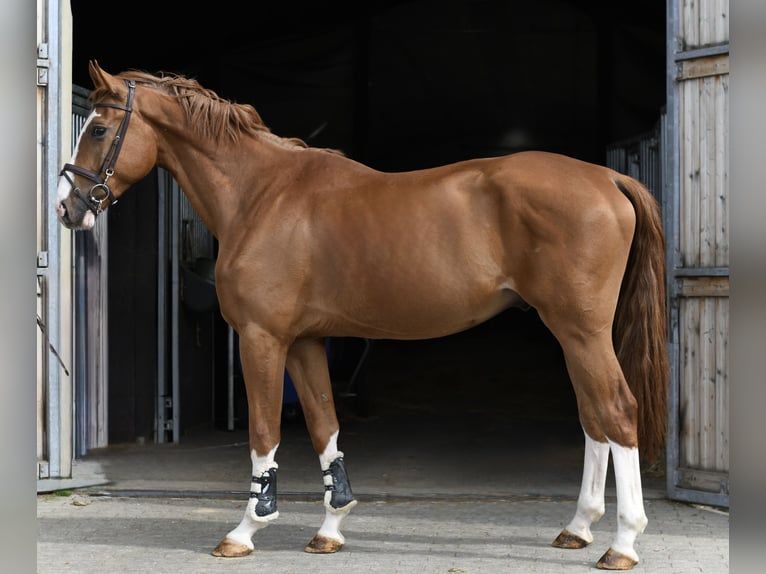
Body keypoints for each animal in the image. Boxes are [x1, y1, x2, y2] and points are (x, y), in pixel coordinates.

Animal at [57, 61, 668, 570]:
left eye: (99, 130)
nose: (68, 209)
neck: (262, 194)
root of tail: (606, 178)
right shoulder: (305, 343)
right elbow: (324, 426)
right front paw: (331, 528)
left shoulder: (261, 339)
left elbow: (263, 431)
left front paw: (245, 530)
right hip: (574, 334)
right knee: (593, 419)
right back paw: (579, 528)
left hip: (581, 331)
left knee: (617, 412)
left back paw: (622, 543)